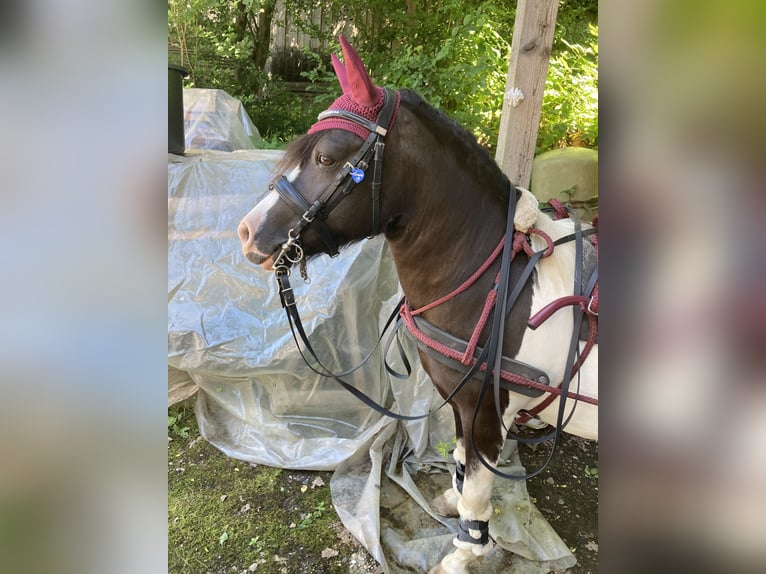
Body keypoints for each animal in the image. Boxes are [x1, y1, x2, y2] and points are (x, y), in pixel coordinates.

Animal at [237, 36, 596, 574]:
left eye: (324, 157)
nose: (246, 232)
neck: (493, 281)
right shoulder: (462, 409)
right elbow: (461, 467)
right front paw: (452, 501)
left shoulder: (485, 417)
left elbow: (479, 489)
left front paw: (465, 552)